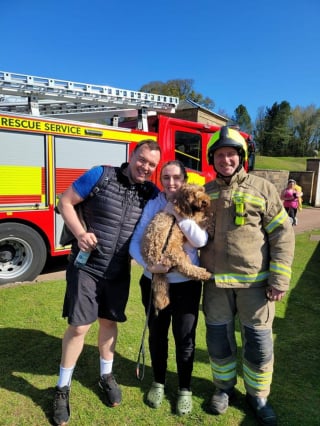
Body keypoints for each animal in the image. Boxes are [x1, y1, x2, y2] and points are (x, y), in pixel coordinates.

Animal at [142, 183, 212, 312]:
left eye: (201, 190)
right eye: (193, 194)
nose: (205, 201)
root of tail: (153, 260)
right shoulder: (188, 217)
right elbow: (199, 217)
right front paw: (208, 217)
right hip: (177, 253)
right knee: (187, 268)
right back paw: (204, 273)